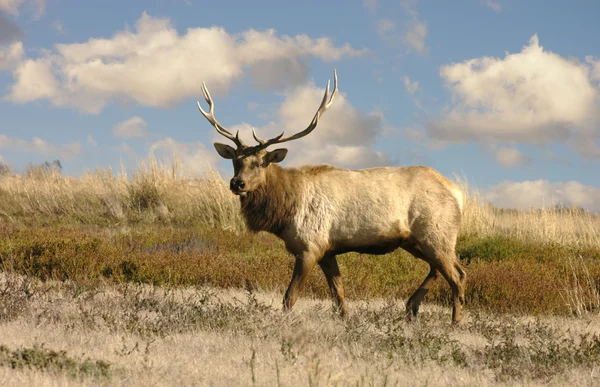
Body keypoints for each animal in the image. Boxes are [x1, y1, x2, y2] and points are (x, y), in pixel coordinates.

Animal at [199, 69, 466, 324]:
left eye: (259, 162)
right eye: (236, 161)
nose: (237, 183)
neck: (284, 213)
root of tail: (459, 194)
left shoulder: (311, 246)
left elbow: (290, 297)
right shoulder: (328, 251)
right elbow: (339, 295)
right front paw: (346, 322)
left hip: (436, 234)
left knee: (457, 275)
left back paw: (454, 323)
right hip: (416, 241)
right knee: (440, 269)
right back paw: (411, 307)